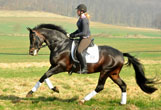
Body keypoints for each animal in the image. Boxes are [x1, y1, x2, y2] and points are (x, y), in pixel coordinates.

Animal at [26, 23, 157, 104]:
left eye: (33, 38)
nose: (31, 52)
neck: (60, 45)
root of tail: (120, 53)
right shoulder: (54, 66)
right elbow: (44, 76)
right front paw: (55, 89)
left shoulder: (60, 67)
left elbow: (45, 75)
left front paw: (30, 93)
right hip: (113, 73)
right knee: (123, 85)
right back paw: (122, 103)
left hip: (105, 71)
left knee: (100, 87)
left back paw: (83, 100)